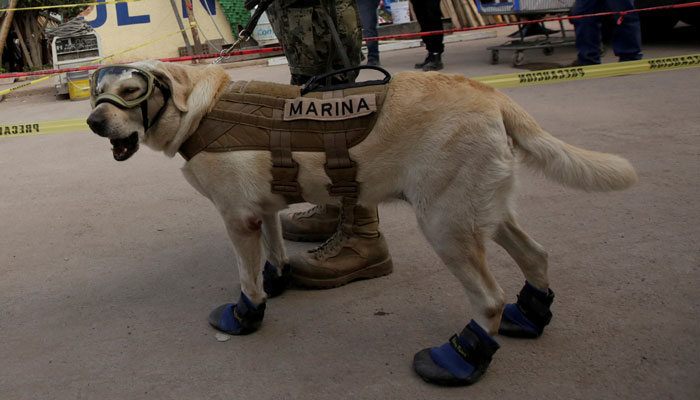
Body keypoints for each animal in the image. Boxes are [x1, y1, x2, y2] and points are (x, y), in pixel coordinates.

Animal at [86, 61, 636, 386]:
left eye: (131, 90)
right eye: (96, 93)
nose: (92, 122)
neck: (201, 109)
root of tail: (494, 96)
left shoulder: (236, 218)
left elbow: (246, 277)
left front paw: (246, 315)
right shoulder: (262, 210)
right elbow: (275, 250)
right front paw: (277, 279)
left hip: (445, 224)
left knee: (488, 297)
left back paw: (460, 358)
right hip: (483, 211)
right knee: (535, 255)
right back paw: (530, 315)